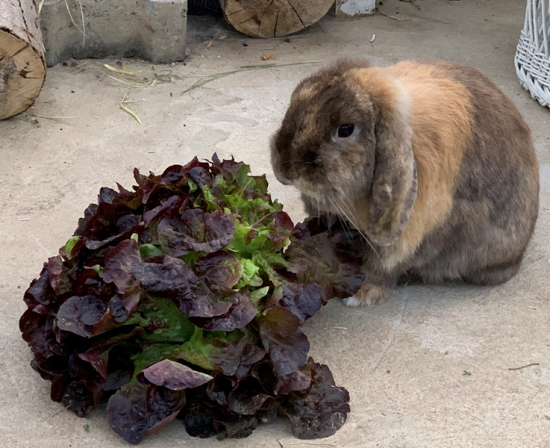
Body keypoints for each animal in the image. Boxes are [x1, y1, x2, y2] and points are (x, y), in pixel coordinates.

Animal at [274, 57, 540, 306]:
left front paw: (359, 296)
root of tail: (518, 257)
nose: (286, 170)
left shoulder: (401, 241)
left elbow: (379, 268)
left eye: (346, 129)